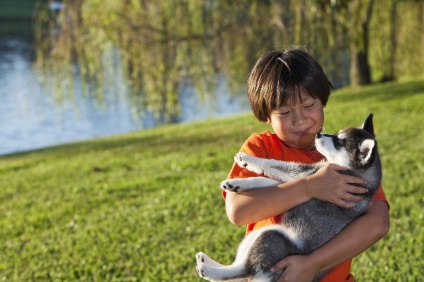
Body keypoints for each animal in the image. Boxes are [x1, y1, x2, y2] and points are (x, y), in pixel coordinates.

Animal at [197, 114, 382, 282]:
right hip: (255, 236)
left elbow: (274, 165)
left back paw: (210, 269)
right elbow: (266, 181)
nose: (318, 134)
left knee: (243, 270)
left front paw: (248, 159)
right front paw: (239, 183)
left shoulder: (305, 173)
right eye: (337, 135)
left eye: (339, 142)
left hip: (271, 238)